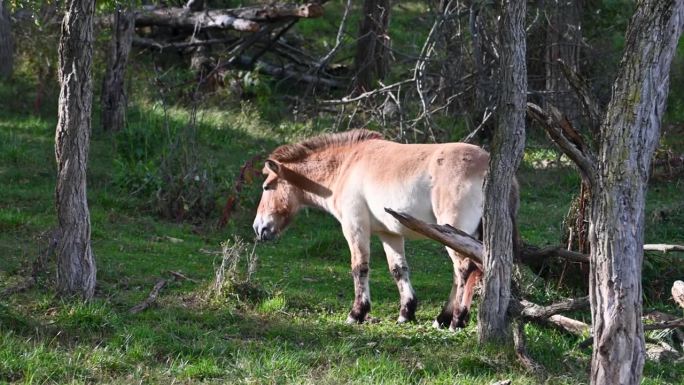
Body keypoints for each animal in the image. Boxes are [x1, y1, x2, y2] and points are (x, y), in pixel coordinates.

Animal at [254, 128, 520, 328]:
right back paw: (443, 319)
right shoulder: (389, 233)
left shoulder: (355, 227)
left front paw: (357, 313)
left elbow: (359, 268)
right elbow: (398, 270)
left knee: (465, 270)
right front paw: (406, 312)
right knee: (469, 271)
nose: (259, 228)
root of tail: (488, 168)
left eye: (266, 187)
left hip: (456, 233)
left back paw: (456, 320)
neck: (346, 166)